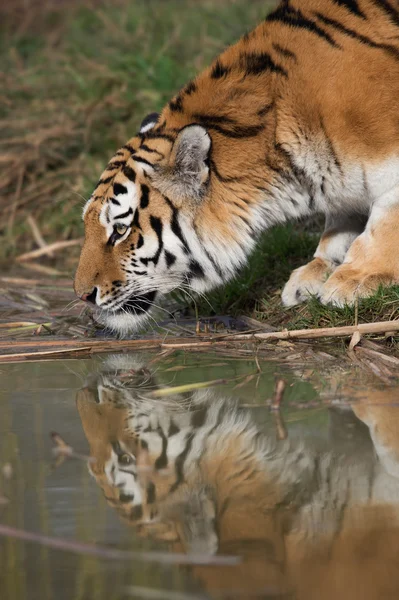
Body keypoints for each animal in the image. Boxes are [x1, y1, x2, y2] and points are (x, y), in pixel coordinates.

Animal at [74, 0, 399, 332]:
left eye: (121, 230)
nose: (83, 295)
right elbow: (339, 219)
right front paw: (314, 273)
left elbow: (386, 220)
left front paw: (355, 279)